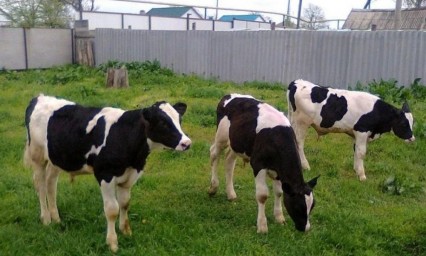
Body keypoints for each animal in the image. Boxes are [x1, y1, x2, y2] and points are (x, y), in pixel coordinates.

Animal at [24, 94, 191, 252]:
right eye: (163, 122)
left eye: (179, 120)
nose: (186, 143)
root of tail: (39, 97)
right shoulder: (105, 175)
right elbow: (112, 210)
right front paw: (112, 243)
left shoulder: (130, 176)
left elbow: (125, 203)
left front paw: (126, 231)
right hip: (37, 155)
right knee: (41, 186)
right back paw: (46, 219)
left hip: (56, 158)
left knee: (51, 184)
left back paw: (56, 218)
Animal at [208, 94, 318, 234]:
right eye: (298, 207)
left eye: (312, 206)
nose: (305, 228)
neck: (277, 137)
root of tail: (229, 95)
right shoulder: (258, 165)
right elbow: (262, 195)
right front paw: (262, 226)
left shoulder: (279, 171)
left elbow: (279, 192)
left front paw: (279, 218)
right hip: (221, 137)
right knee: (214, 154)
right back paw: (213, 187)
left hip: (236, 143)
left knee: (229, 161)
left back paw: (231, 194)